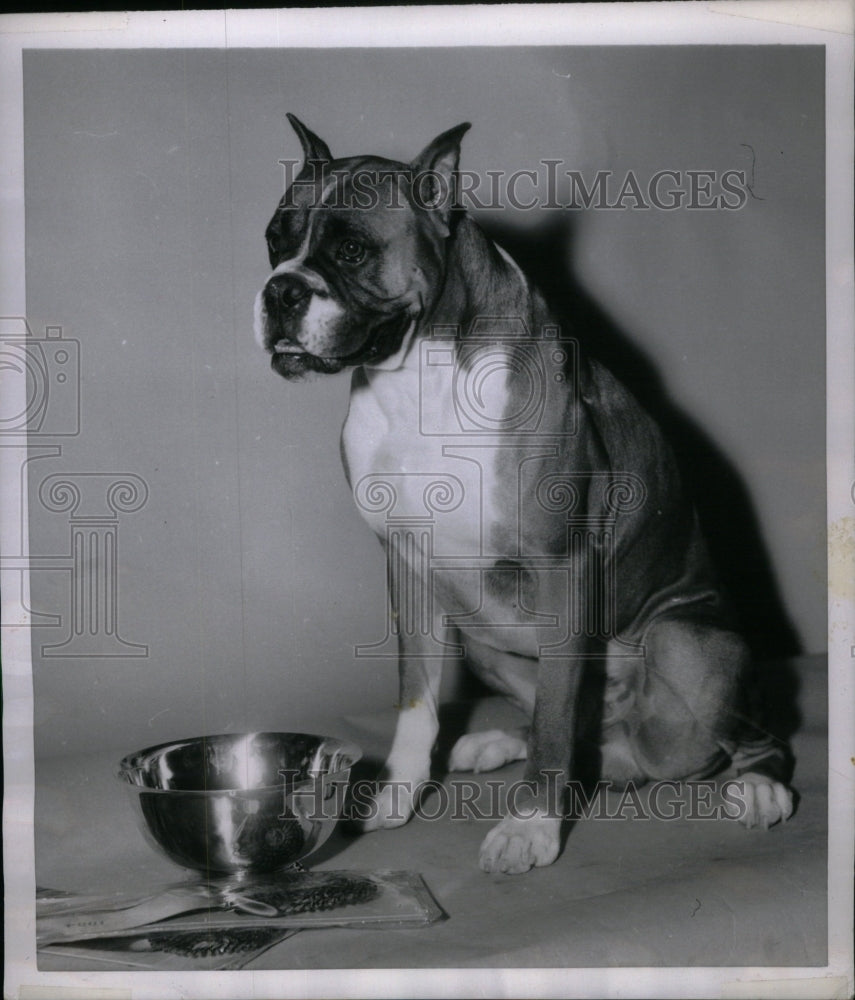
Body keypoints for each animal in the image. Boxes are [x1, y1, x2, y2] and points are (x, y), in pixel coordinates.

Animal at [254, 113, 796, 872]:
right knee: (571, 729)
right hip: (481, 633)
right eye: (275, 239)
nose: (280, 291)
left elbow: (554, 726)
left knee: (730, 738)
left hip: (688, 650)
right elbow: (417, 702)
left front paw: (532, 825)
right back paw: (500, 743)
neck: (416, 375)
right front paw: (397, 793)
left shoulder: (560, 566)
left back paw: (760, 787)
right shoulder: (409, 567)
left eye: (352, 250)